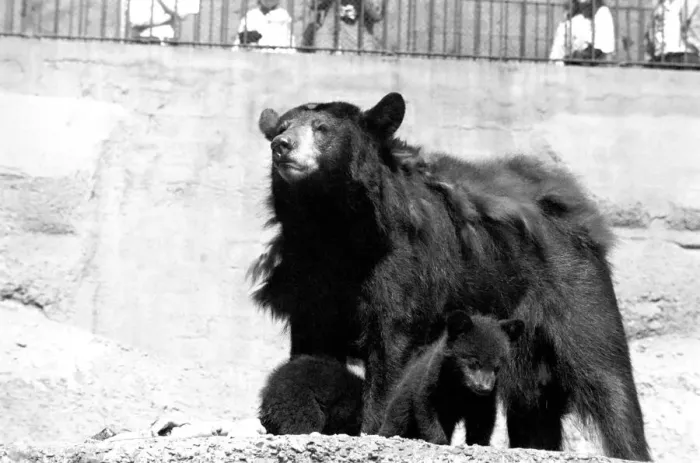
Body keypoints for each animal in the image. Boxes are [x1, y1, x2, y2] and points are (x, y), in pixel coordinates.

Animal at [378, 311, 525, 446]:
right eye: (474, 362)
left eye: (497, 367)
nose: (485, 388)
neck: (460, 387)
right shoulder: (433, 381)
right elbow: (427, 410)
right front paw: (440, 440)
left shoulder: (483, 400)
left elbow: (483, 419)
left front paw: (478, 442)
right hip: (401, 405)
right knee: (396, 421)